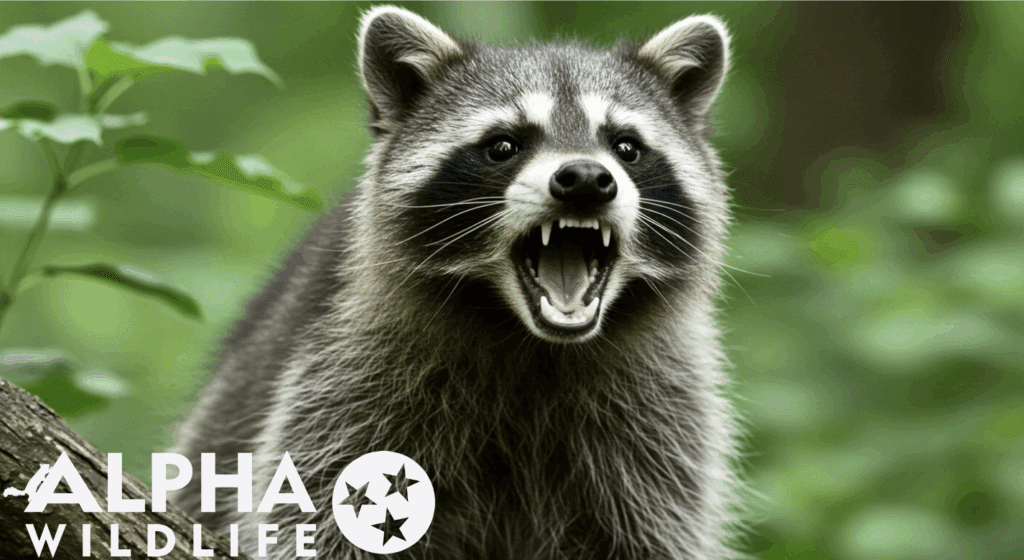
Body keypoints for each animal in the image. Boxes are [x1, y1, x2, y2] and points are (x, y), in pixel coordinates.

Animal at [172, 6, 739, 559]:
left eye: (626, 147)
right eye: (503, 146)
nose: (584, 179)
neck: (532, 342)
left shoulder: (661, 407)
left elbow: (648, 528)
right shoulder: (346, 376)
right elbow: (317, 512)